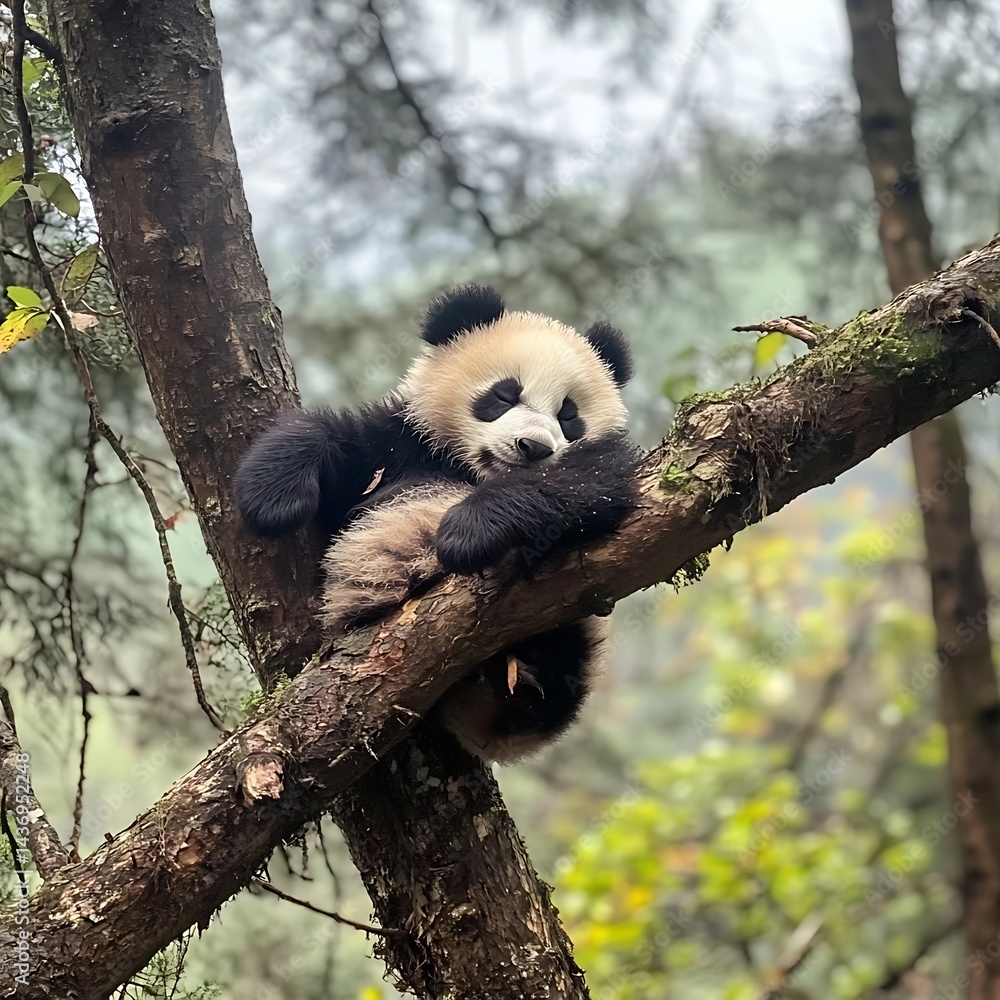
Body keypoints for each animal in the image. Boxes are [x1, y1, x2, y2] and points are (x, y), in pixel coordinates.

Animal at [234, 284, 639, 763]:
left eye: (569, 416)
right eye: (504, 395)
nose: (533, 447)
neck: (470, 471)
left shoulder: (602, 469)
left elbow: (591, 483)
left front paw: (465, 533)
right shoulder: (399, 446)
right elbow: (339, 450)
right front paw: (271, 496)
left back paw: (527, 679)